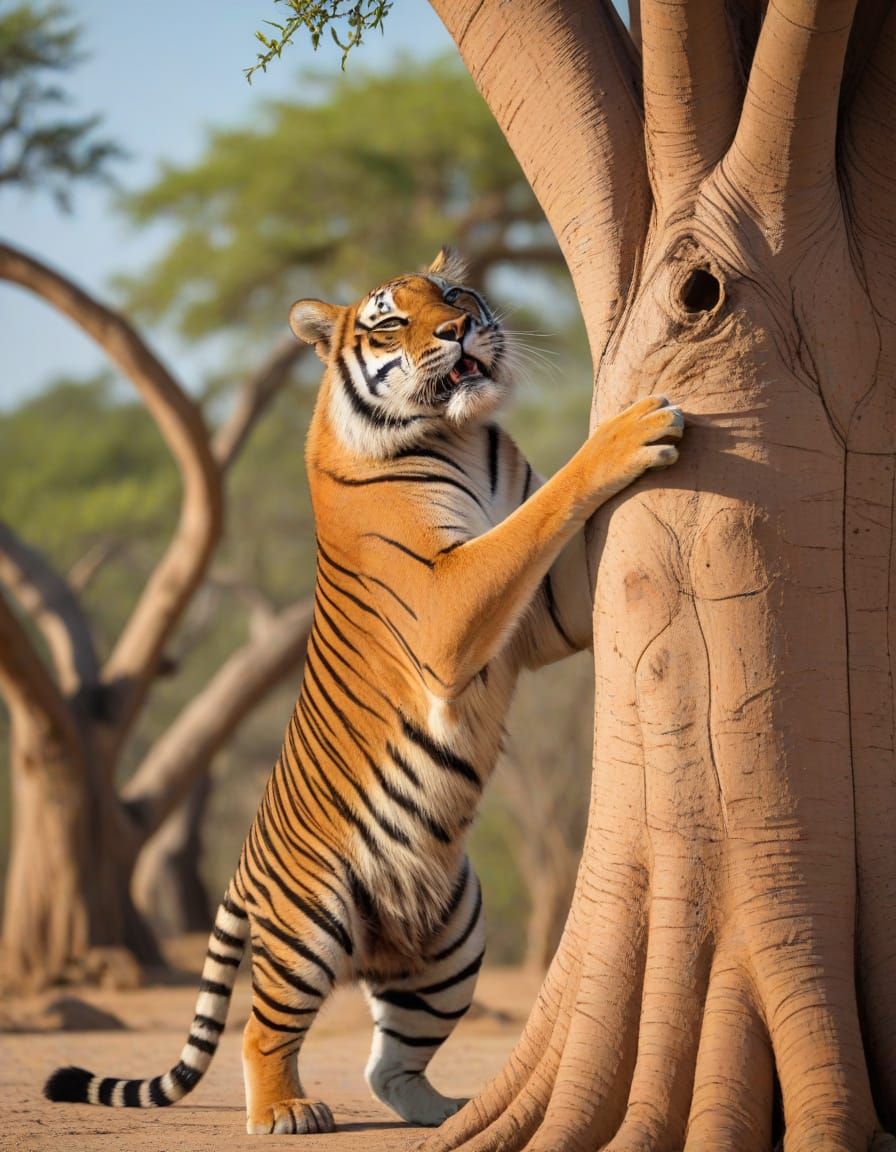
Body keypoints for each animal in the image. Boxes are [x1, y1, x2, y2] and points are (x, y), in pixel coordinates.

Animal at [44, 248, 683, 1135]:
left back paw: (445, 1111)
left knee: (391, 1064)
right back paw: (287, 1112)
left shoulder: (539, 618)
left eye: (452, 293)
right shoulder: (450, 604)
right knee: (261, 1032)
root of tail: (243, 870)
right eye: (390, 323)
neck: (461, 431)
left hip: (454, 942)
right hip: (309, 929)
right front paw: (634, 428)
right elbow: (545, 512)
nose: (460, 329)